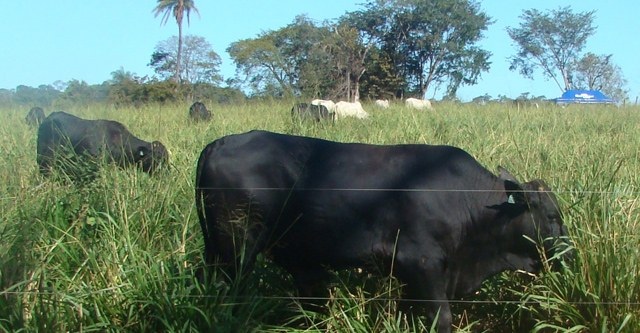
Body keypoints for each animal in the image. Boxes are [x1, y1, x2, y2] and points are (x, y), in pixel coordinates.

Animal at [195, 130, 568, 332]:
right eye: (552, 214)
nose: (569, 252)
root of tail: (219, 143)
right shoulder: (422, 262)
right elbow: (442, 317)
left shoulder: (409, 273)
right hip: (236, 251)